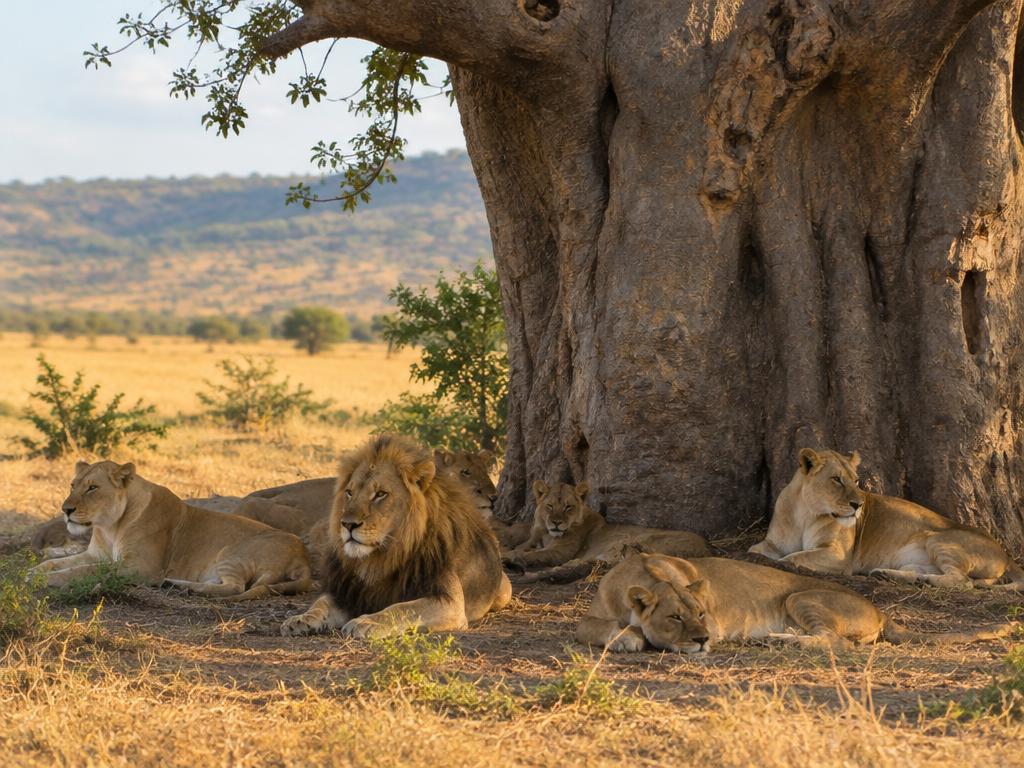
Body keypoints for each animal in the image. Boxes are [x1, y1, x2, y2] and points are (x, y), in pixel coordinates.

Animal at [27, 460, 312, 599]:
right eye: (72, 485)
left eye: (92, 488)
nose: (66, 509)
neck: (109, 527)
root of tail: (302, 555)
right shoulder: (97, 555)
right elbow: (57, 563)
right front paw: (35, 571)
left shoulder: (140, 568)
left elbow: (80, 571)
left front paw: (46, 580)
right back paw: (176, 585)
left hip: (231, 553)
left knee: (235, 587)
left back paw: (190, 589)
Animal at [280, 435, 512, 639]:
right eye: (349, 493)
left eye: (380, 494)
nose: (347, 524)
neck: (383, 555)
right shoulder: (349, 592)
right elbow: (321, 603)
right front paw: (300, 619)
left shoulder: (449, 602)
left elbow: (401, 608)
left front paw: (367, 622)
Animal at [502, 480, 709, 582]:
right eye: (550, 506)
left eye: (568, 507)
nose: (556, 523)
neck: (547, 533)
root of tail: (706, 549)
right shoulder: (533, 539)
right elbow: (521, 547)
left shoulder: (560, 552)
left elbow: (532, 554)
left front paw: (509, 556)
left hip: (633, 540)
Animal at [748, 448, 1024, 589]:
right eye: (837, 479)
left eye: (856, 480)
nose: (858, 505)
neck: (806, 512)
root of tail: (1006, 554)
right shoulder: (773, 543)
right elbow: (756, 551)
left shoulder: (838, 556)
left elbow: (794, 558)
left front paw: (782, 564)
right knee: (923, 572)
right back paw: (889, 575)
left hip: (938, 539)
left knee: (962, 582)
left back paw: (922, 580)